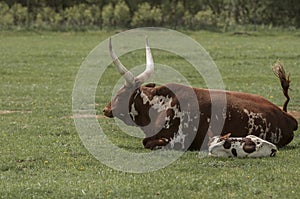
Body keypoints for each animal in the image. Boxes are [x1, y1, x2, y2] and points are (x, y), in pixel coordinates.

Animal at [103, 38, 298, 151]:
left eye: (120, 94)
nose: (105, 109)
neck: (159, 106)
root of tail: (286, 116)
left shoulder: (177, 140)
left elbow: (147, 143)